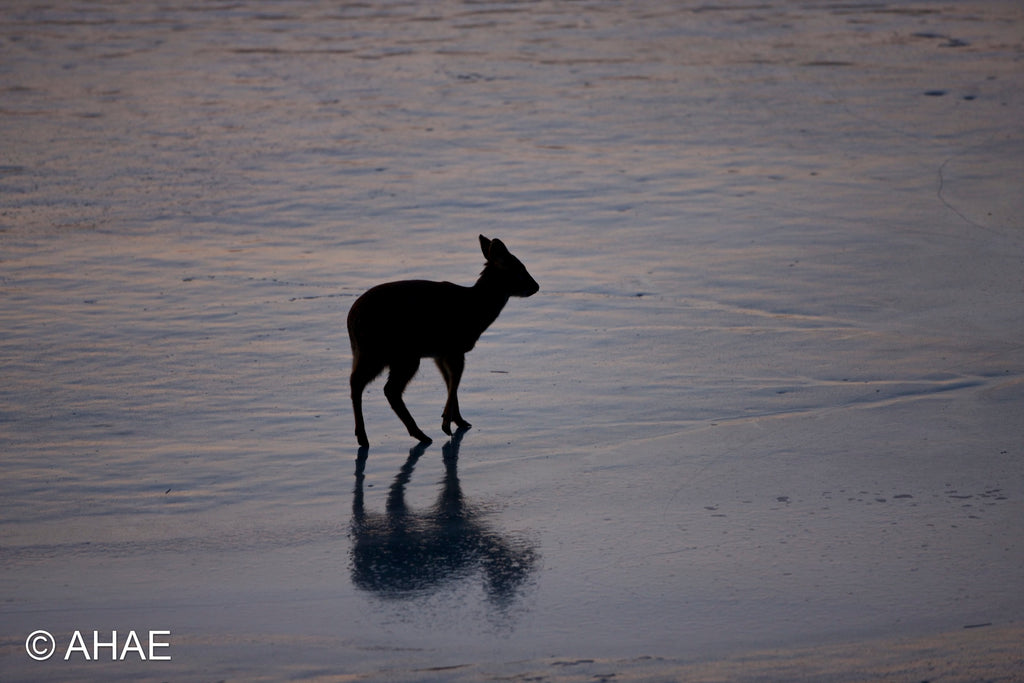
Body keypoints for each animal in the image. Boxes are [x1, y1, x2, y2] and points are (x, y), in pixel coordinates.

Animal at [347, 235, 539, 447]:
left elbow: (449, 382)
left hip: (371, 353)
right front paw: (446, 424)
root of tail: (351, 321)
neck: (476, 307)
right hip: (395, 353)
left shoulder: (440, 354)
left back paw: (369, 436)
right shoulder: (454, 347)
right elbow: (455, 380)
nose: (536, 286)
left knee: (360, 382)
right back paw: (413, 435)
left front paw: (459, 420)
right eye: (519, 269)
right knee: (386, 389)